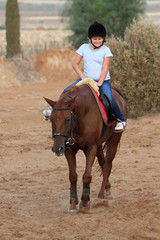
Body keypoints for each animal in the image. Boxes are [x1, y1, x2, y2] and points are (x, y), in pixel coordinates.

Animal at [44, 84, 127, 214]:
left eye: (67, 119)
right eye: (51, 119)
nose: (58, 148)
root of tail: (117, 93)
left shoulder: (91, 147)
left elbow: (87, 176)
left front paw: (84, 202)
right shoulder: (69, 150)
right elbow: (73, 176)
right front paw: (73, 204)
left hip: (114, 140)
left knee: (108, 165)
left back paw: (102, 194)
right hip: (99, 145)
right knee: (103, 163)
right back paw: (107, 189)